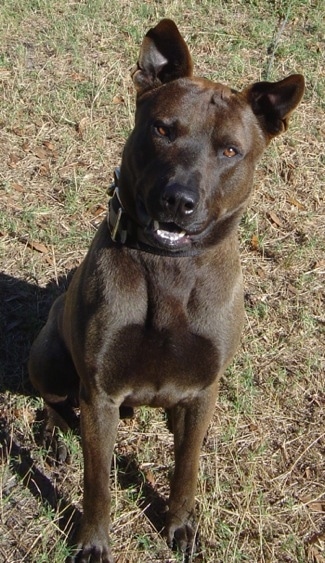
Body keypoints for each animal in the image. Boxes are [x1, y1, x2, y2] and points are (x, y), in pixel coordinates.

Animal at [28, 18, 304, 563]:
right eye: (162, 129)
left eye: (230, 150)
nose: (179, 200)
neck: (169, 270)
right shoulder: (99, 393)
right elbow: (97, 482)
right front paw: (93, 542)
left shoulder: (202, 391)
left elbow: (186, 467)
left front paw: (180, 525)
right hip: (48, 355)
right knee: (52, 399)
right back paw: (53, 433)